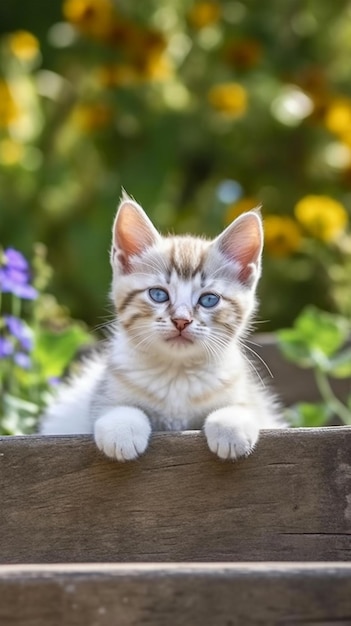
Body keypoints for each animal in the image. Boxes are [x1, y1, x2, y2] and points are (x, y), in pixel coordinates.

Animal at [40, 193, 284, 460]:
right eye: (158, 295)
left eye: (209, 299)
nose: (181, 320)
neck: (176, 375)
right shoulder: (105, 392)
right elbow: (116, 408)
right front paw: (121, 430)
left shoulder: (249, 396)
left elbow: (244, 408)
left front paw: (231, 426)